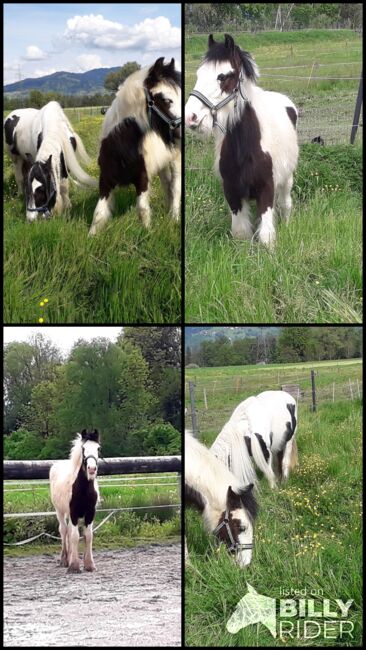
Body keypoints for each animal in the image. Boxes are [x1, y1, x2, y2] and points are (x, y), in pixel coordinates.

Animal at [48, 430, 101, 572]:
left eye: (98, 448)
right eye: (83, 449)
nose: (92, 469)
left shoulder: (90, 513)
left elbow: (88, 536)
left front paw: (89, 565)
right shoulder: (74, 512)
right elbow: (75, 537)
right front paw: (74, 566)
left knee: (70, 531)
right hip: (60, 511)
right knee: (64, 530)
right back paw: (64, 560)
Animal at [87, 55, 182, 233]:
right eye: (166, 99)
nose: (184, 129)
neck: (119, 146)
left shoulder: (142, 179)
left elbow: (142, 210)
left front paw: (148, 233)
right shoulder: (105, 180)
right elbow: (98, 214)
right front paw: (91, 236)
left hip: (175, 160)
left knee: (175, 187)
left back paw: (174, 218)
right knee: (167, 185)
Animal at [184, 34, 298, 248]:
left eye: (222, 76)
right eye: (199, 74)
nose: (190, 117)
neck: (245, 148)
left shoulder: (266, 189)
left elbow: (266, 237)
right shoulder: (232, 192)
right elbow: (241, 235)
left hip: (287, 178)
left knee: (285, 204)